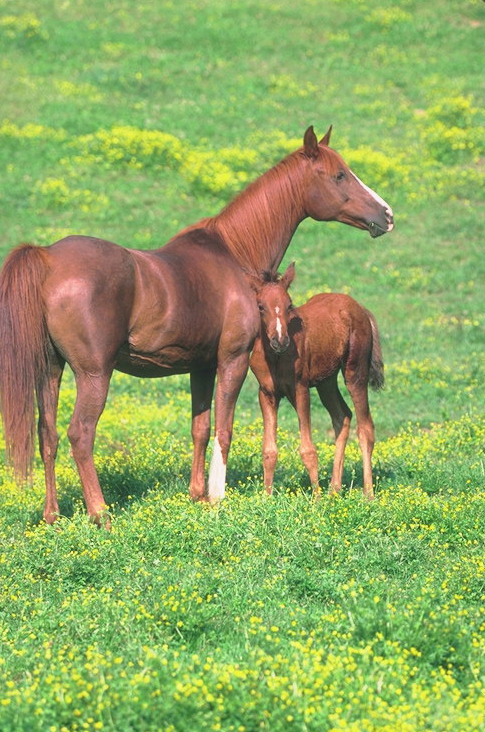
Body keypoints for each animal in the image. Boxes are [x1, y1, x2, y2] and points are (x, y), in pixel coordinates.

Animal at [0, 127, 392, 528]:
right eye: (340, 175)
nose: (387, 214)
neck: (233, 253)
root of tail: (48, 257)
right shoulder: (232, 360)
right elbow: (224, 429)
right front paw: (217, 497)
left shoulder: (201, 366)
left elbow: (200, 428)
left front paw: (198, 496)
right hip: (93, 374)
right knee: (80, 434)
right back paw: (101, 514)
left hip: (50, 370)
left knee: (47, 433)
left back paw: (52, 516)